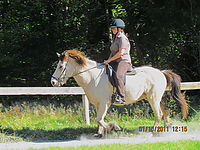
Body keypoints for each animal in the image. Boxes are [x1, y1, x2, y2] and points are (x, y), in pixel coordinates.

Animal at [50, 49, 188, 137]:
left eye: (61, 66)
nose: (53, 82)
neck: (92, 77)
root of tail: (161, 72)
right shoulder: (98, 104)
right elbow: (99, 120)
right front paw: (99, 134)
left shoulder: (104, 103)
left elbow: (99, 119)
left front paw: (113, 127)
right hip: (154, 98)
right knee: (165, 111)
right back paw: (167, 127)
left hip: (153, 98)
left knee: (158, 114)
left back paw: (153, 132)